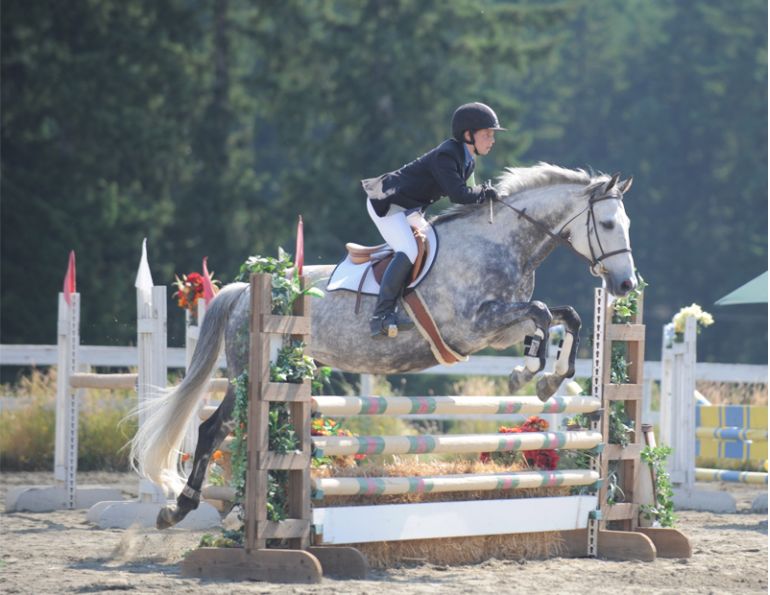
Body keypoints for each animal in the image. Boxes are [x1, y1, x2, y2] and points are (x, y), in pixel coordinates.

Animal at [130, 163, 637, 529]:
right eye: (608, 223)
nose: (626, 285)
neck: (502, 243)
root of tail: (243, 291)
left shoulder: (498, 329)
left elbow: (562, 317)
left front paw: (548, 377)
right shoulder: (475, 326)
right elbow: (544, 314)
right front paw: (529, 375)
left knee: (220, 427)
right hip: (251, 369)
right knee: (213, 429)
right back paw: (180, 509)